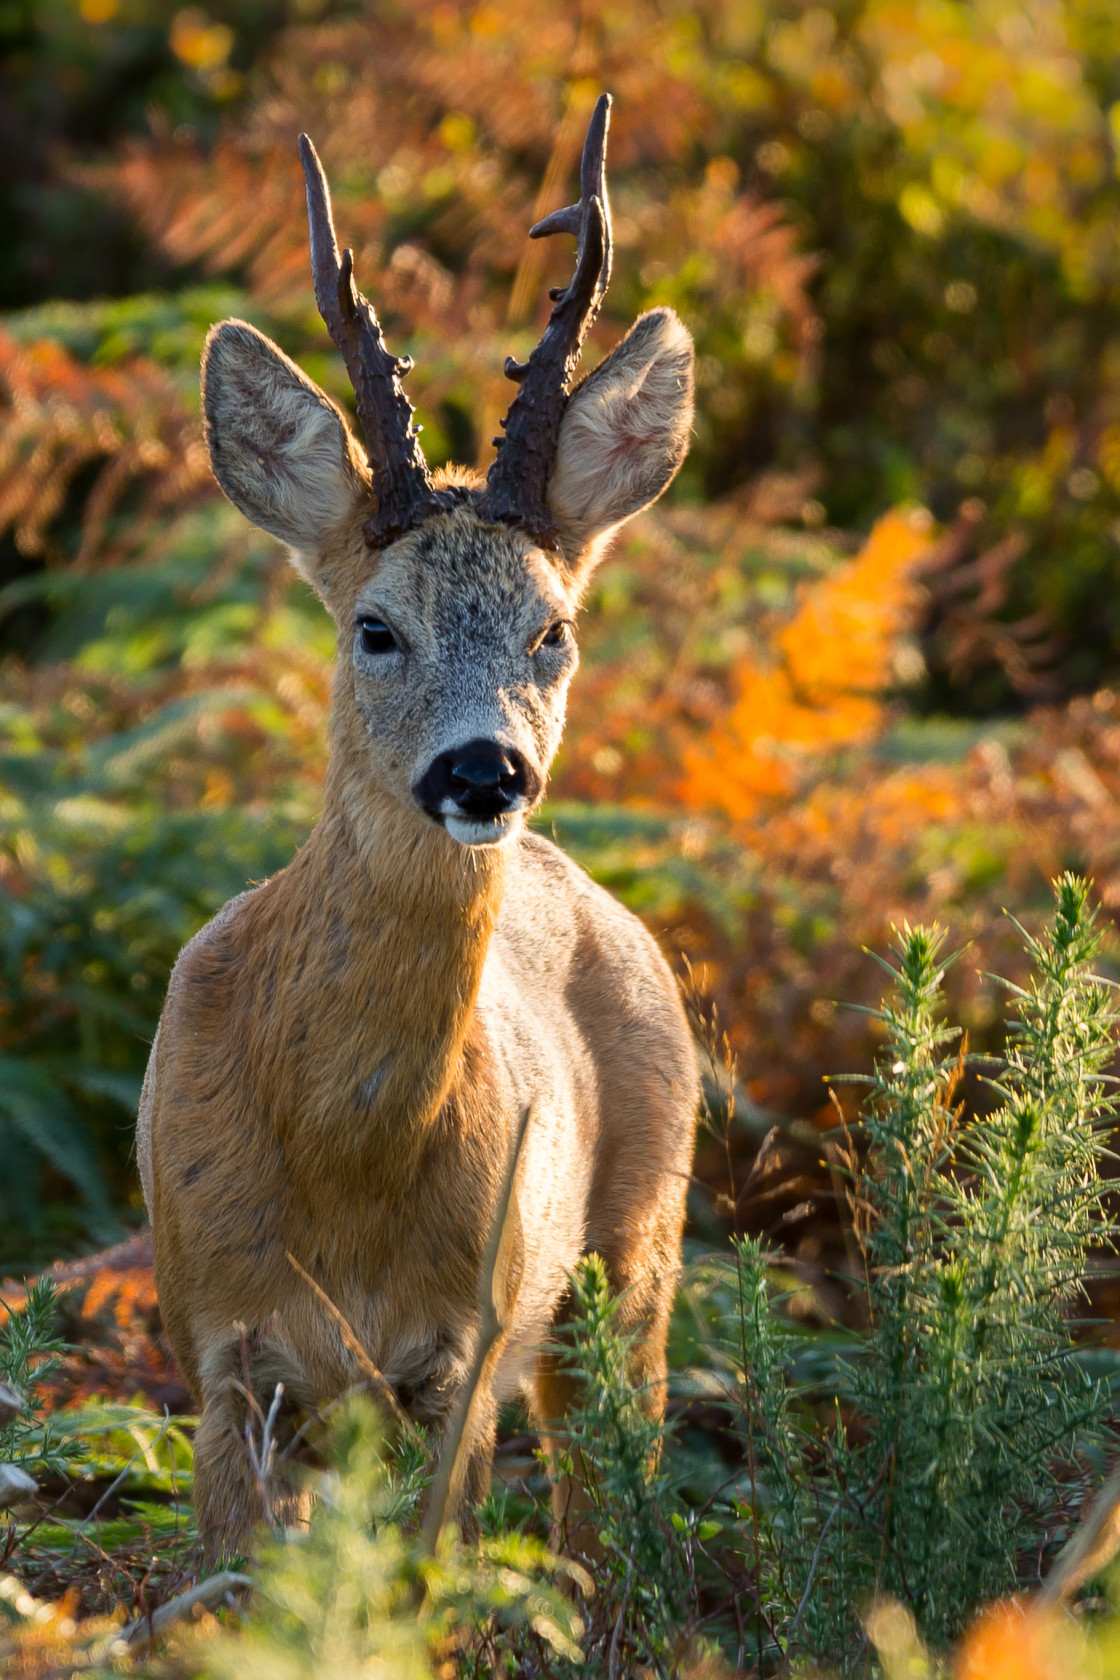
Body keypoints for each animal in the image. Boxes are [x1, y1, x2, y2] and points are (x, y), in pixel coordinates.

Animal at [137, 91, 701, 1559]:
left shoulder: (468, 1343)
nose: (484, 770)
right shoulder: (212, 1342)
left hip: (640, 1241)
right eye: (374, 628)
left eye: (553, 629)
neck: (346, 1172)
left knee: (612, 1492)